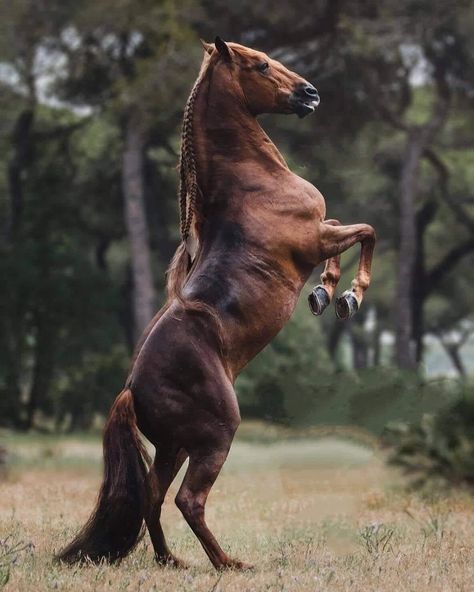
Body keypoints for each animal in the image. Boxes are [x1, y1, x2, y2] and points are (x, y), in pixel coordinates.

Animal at [59, 35, 376, 568]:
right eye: (261, 64)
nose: (310, 94)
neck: (253, 184)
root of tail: (132, 388)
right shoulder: (314, 239)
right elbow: (367, 231)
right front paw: (346, 296)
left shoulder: (323, 231)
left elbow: (351, 231)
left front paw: (324, 294)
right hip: (214, 436)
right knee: (188, 499)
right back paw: (229, 564)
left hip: (173, 446)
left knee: (152, 495)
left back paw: (172, 561)